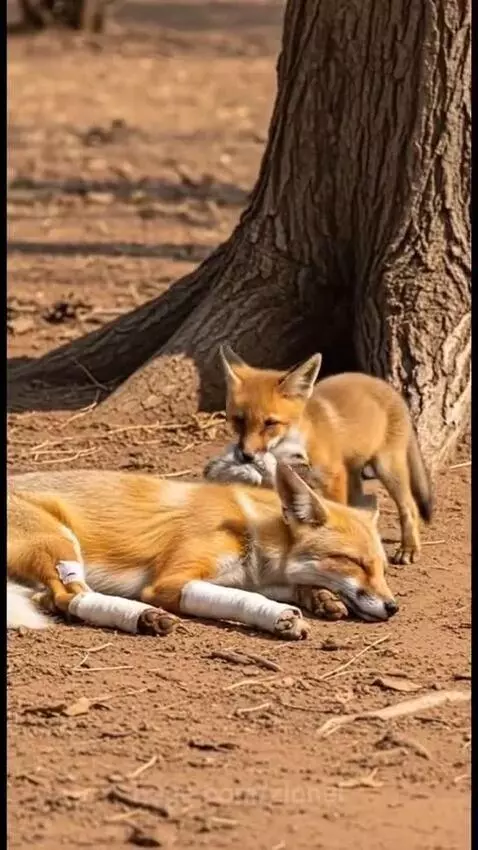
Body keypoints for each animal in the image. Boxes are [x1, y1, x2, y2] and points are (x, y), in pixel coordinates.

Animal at [7, 464, 398, 637]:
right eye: (354, 563)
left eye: (381, 568)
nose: (393, 607)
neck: (249, 527)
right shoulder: (170, 581)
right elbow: (244, 599)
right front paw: (279, 616)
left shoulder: (250, 577)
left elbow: (291, 586)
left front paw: (320, 597)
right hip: (61, 544)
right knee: (69, 596)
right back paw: (144, 616)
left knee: (52, 599)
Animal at [216, 345, 433, 565]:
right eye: (239, 420)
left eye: (270, 423)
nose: (246, 455)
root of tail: (388, 387)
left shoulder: (332, 478)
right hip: (353, 473)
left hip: (386, 467)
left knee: (409, 506)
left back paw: (408, 548)